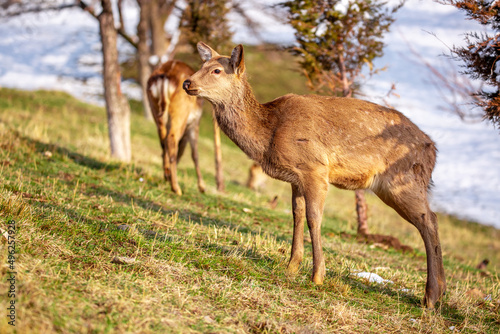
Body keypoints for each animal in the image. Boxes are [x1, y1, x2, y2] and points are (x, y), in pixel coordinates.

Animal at [146, 60, 205, 196]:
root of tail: (166, 74)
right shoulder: (194, 123)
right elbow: (194, 154)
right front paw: (202, 187)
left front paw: (166, 175)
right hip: (180, 113)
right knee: (172, 140)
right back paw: (176, 187)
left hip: (155, 110)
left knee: (163, 141)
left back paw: (168, 176)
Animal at [182, 43, 448, 310]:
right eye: (202, 64)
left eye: (216, 70)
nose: (186, 82)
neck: (269, 135)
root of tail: (433, 150)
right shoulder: (295, 179)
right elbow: (297, 216)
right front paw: (291, 266)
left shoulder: (315, 169)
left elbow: (314, 218)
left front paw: (317, 275)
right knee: (431, 219)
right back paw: (439, 292)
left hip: (401, 181)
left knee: (429, 220)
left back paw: (431, 296)